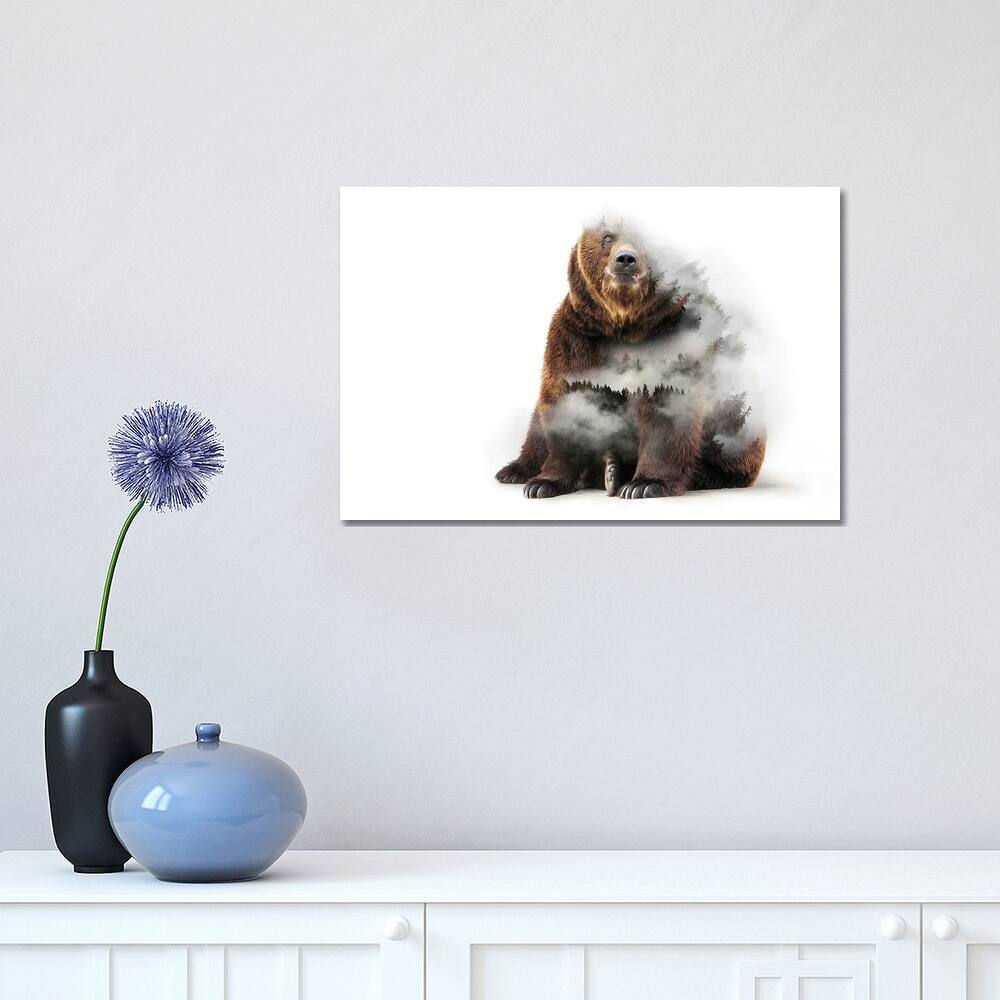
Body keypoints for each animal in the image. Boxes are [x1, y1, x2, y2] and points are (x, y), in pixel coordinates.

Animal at [495, 220, 766, 499]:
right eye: (607, 236)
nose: (626, 259)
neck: (625, 324)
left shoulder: (675, 338)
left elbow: (666, 411)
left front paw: (645, 483)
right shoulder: (576, 339)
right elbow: (568, 402)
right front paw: (543, 483)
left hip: (738, 413)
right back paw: (518, 470)